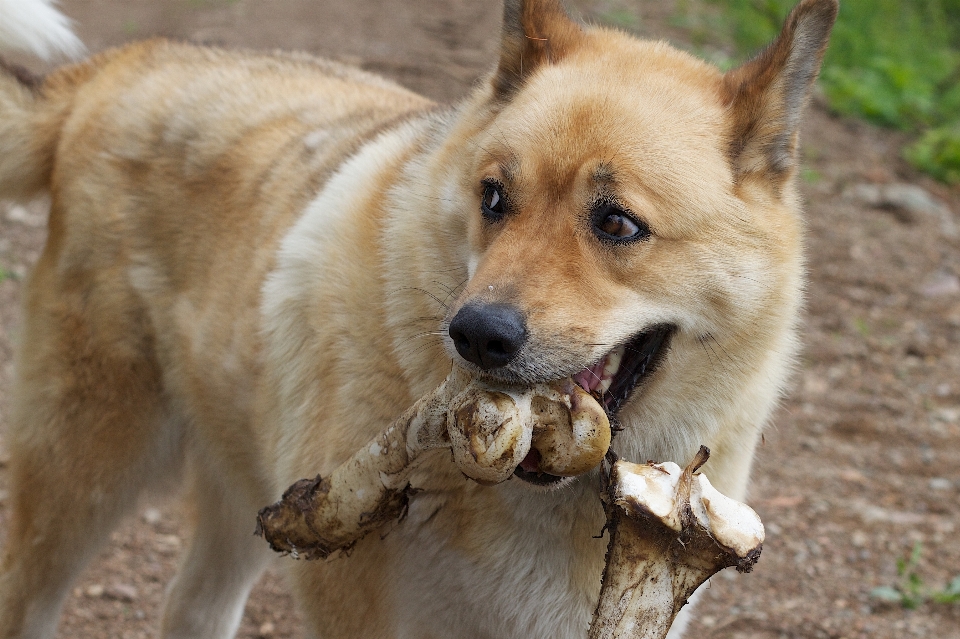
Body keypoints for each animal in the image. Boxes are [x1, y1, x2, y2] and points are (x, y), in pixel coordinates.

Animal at [0, 1, 836, 636]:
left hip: (235, 492)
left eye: (617, 223)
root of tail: (120, 66)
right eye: (494, 197)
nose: (478, 334)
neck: (550, 504)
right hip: (80, 480)